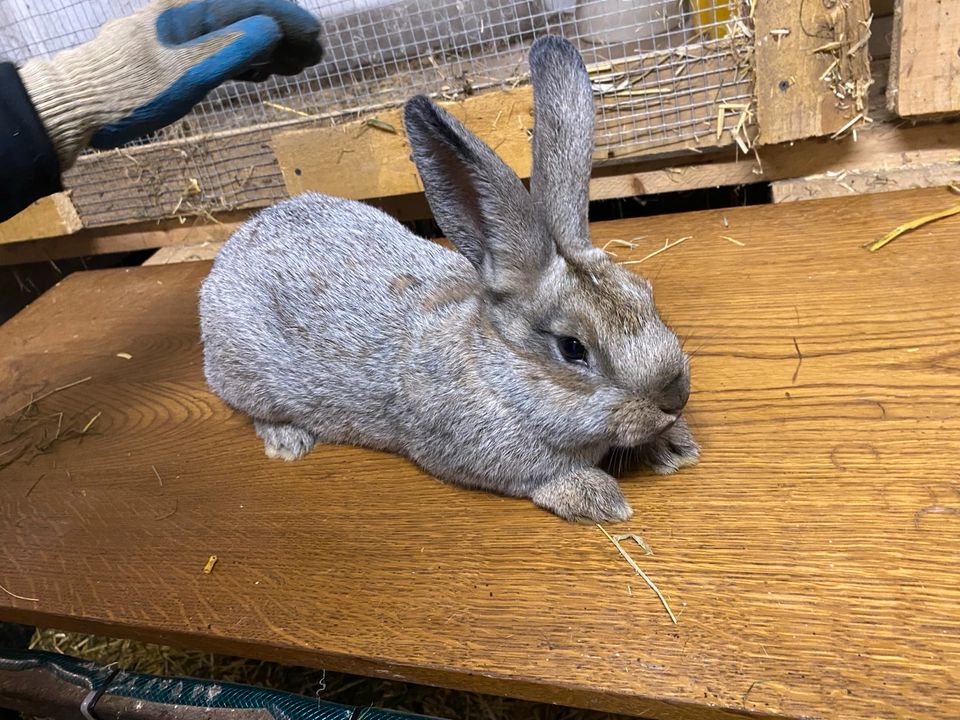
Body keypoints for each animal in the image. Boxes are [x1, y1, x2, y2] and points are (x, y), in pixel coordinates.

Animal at [201, 33, 696, 520]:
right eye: (572, 348)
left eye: (644, 293)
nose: (675, 398)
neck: (498, 374)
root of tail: (231, 250)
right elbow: (540, 479)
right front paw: (597, 496)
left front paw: (677, 445)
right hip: (244, 378)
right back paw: (288, 442)